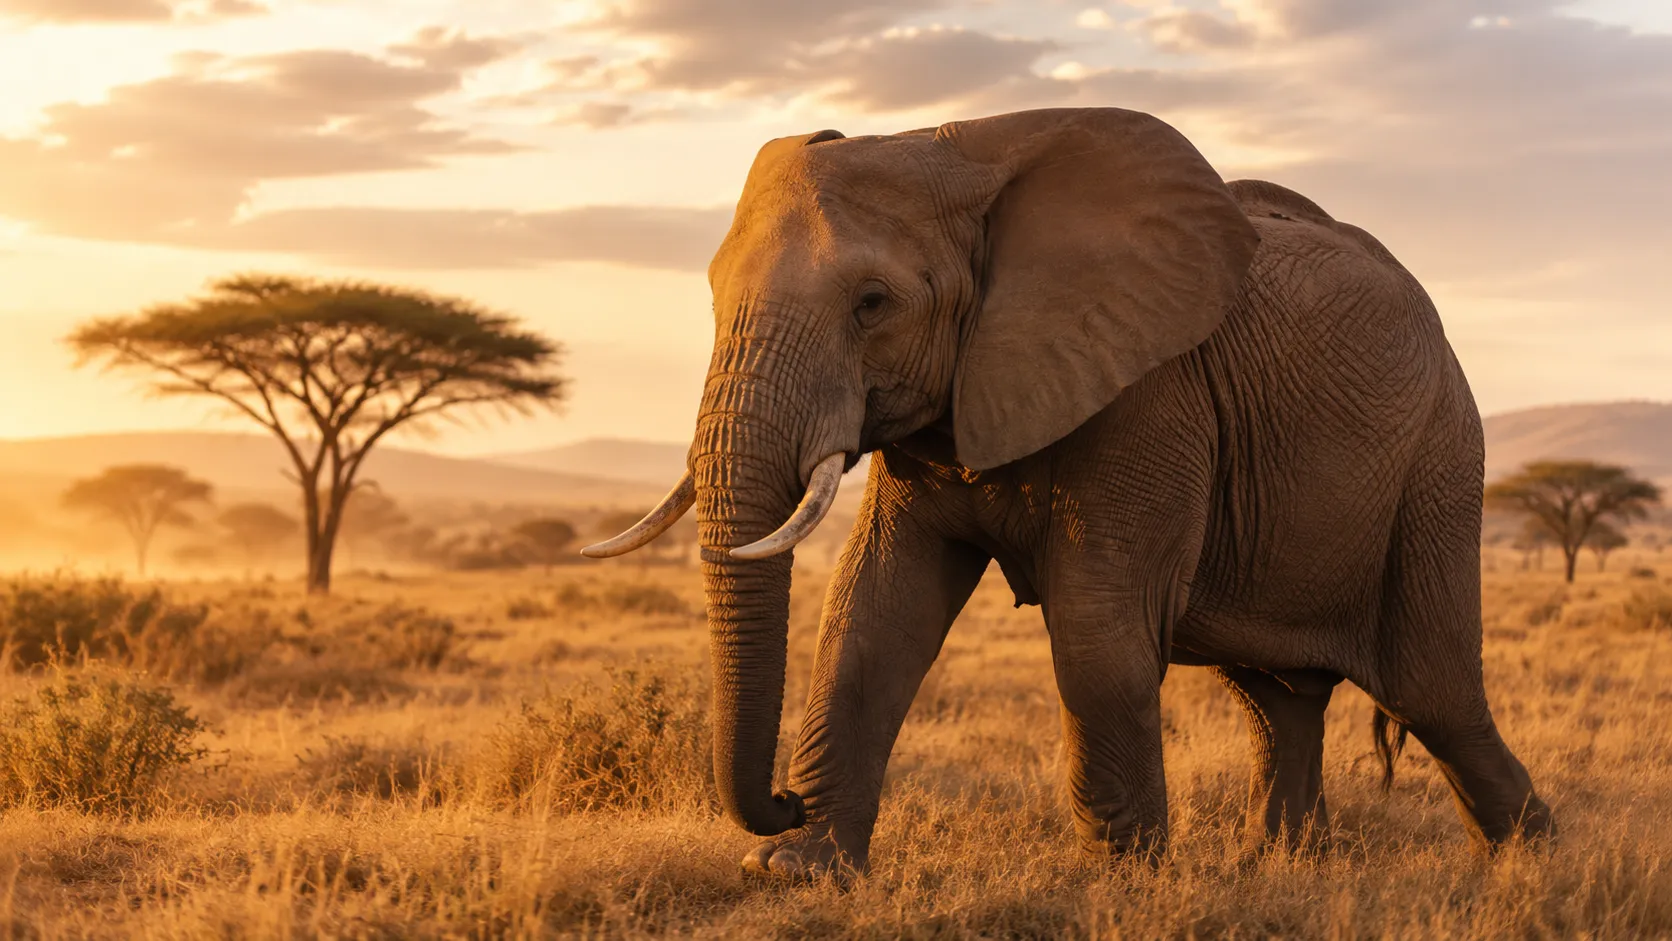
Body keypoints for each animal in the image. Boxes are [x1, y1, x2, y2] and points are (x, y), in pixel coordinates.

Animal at [584, 107, 1555, 879]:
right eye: (713, 294)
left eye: (872, 303)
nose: (780, 797)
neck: (956, 152)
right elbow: (872, 609)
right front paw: (801, 869)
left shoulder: (1151, 385)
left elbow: (1094, 621)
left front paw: (1125, 876)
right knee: (1277, 698)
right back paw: (1282, 866)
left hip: (1437, 458)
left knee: (1431, 689)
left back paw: (1533, 859)